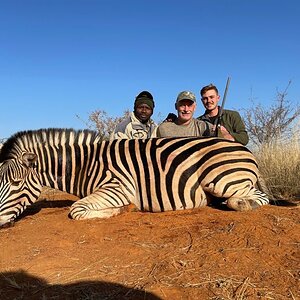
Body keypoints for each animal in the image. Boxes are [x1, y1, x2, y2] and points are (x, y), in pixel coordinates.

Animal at [0, 127, 268, 227]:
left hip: (220, 180)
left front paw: (122, 210)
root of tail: (245, 149)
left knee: (256, 197)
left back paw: (243, 204)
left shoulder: (116, 188)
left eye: (15, 183)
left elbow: (76, 210)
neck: (86, 165)